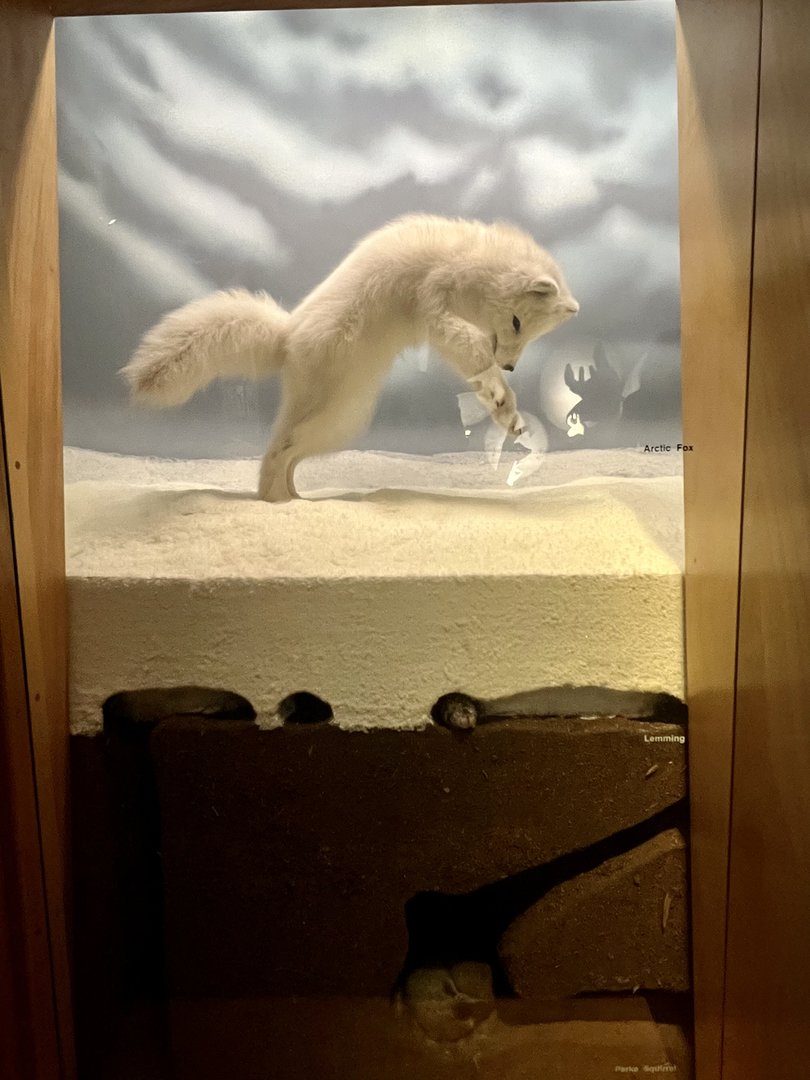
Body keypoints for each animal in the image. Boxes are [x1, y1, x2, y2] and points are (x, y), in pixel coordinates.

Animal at [122, 214, 579, 501]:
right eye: (517, 322)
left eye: (532, 335)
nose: (511, 366)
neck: (469, 260)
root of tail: (289, 335)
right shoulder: (436, 303)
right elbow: (469, 347)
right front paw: (501, 394)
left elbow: (481, 375)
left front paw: (505, 410)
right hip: (334, 417)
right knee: (277, 453)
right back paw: (278, 504)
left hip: (339, 421)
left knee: (285, 453)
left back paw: (295, 499)